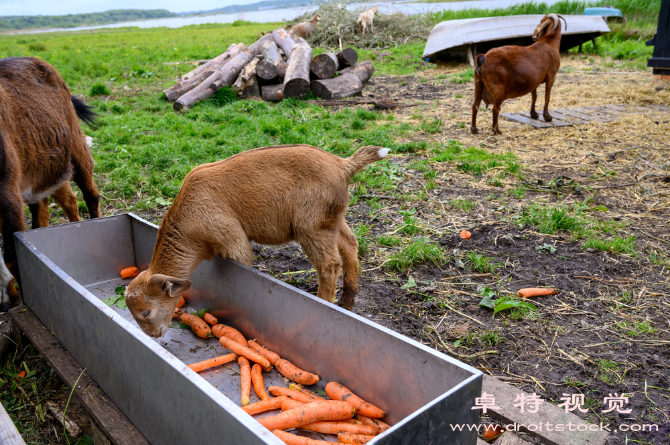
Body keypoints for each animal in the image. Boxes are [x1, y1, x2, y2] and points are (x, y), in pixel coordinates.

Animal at [0, 57, 101, 306]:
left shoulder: (8, 195)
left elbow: (11, 258)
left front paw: (22, 298)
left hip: (75, 144)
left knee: (90, 194)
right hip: (46, 168)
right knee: (55, 204)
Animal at [125, 146, 388, 336]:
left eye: (146, 312)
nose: (154, 335)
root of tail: (342, 165)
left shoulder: (233, 239)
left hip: (312, 226)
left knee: (329, 265)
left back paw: (325, 303)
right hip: (333, 218)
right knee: (351, 244)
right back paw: (346, 302)